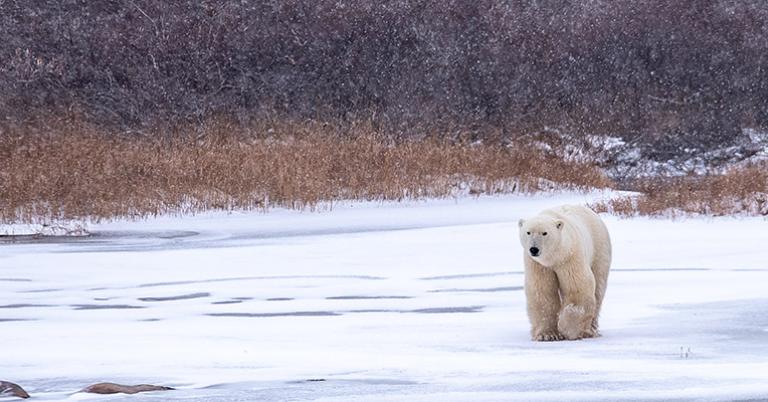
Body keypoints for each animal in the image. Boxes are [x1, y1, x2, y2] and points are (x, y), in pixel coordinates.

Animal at [518, 204, 611, 341]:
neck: (554, 258)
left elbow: (577, 289)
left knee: (599, 286)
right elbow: (543, 292)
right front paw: (548, 334)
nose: (534, 249)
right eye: (528, 232)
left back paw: (590, 330)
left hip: (599, 249)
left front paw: (567, 328)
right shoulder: (538, 265)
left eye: (544, 233)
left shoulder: (569, 258)